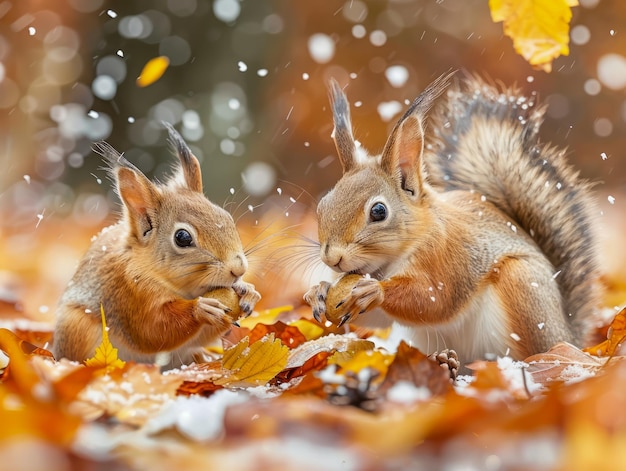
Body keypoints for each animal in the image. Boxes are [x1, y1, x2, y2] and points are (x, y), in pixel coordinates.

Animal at [52, 121, 260, 368]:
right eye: (182, 237)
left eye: (226, 217)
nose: (239, 269)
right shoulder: (131, 293)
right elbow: (153, 330)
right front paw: (200, 309)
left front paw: (249, 292)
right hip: (77, 328)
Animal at [302, 72, 600, 364]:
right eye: (323, 203)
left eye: (378, 211)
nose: (332, 258)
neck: (386, 263)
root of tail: (567, 332)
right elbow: (375, 318)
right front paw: (319, 291)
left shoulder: (446, 257)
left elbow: (434, 300)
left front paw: (375, 291)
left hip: (523, 285)